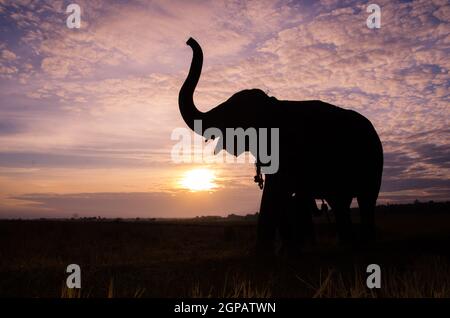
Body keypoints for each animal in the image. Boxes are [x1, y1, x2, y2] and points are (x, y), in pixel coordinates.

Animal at [178, 38, 384, 253]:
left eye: (232, 113)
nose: (189, 41)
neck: (272, 106)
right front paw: (285, 250)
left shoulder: (287, 149)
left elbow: (275, 190)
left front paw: (262, 252)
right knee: (340, 203)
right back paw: (346, 245)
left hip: (373, 162)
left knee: (366, 200)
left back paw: (364, 245)